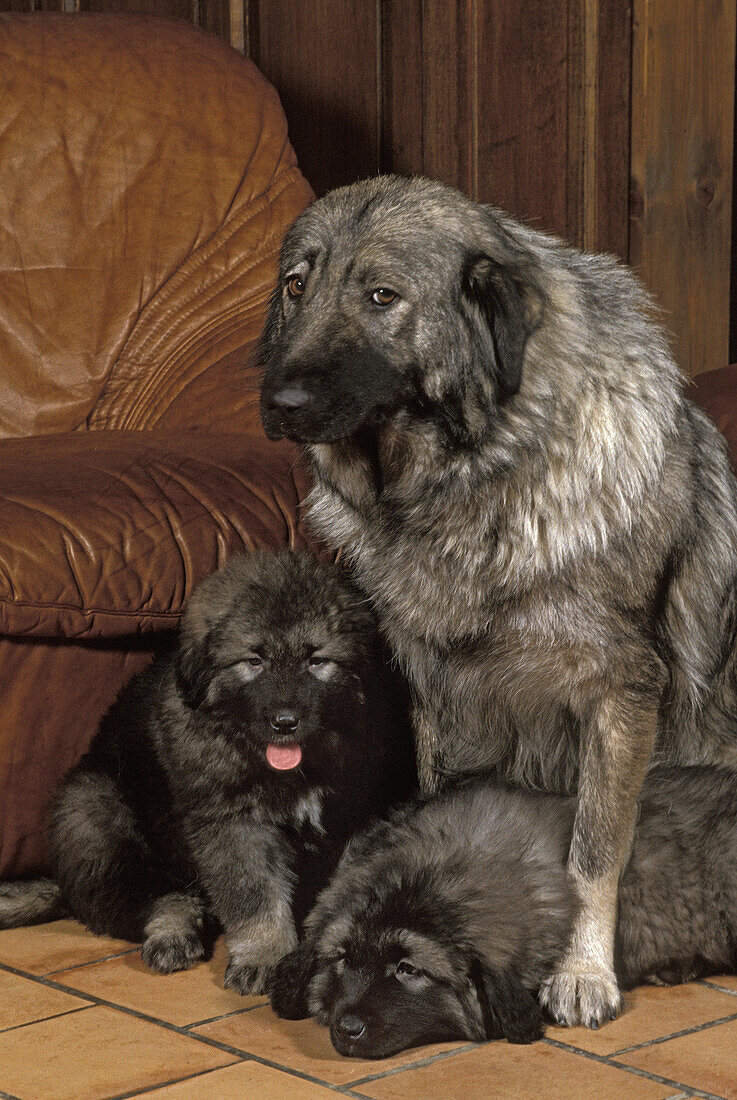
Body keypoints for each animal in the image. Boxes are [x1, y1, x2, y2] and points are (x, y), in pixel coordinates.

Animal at [0, 550, 415, 998]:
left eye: (317, 661)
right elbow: (255, 896)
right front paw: (264, 955)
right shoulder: (232, 824)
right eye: (254, 661)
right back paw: (171, 935)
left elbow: (344, 894)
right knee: (160, 897)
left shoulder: (358, 817)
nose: (285, 722)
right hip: (92, 810)